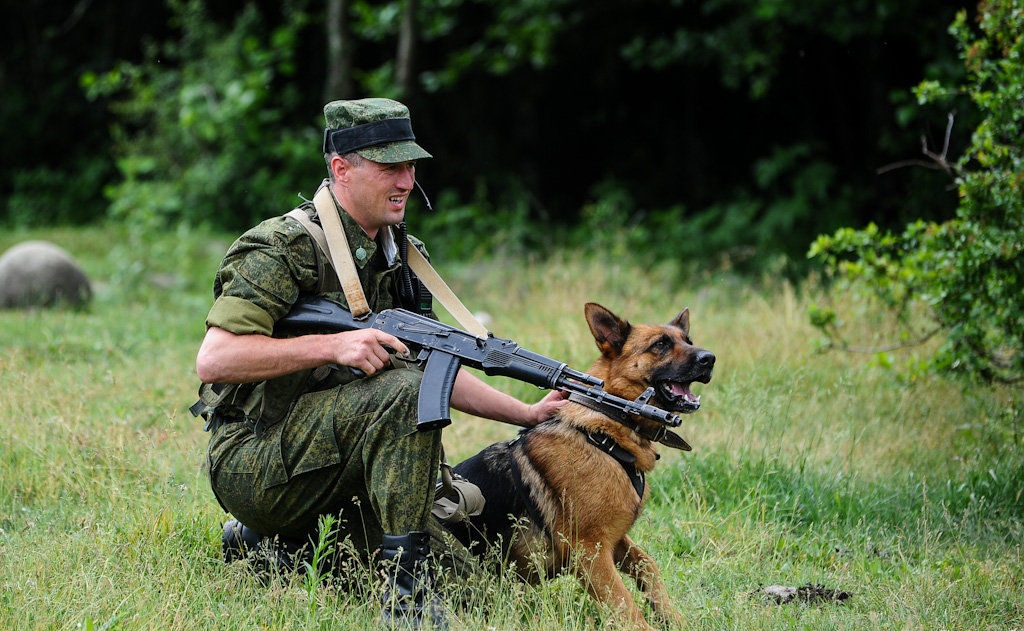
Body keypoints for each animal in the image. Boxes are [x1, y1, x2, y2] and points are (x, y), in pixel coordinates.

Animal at [444, 303, 716, 626]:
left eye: (688, 340)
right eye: (660, 345)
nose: (710, 359)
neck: (606, 431)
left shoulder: (612, 540)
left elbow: (648, 565)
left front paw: (673, 617)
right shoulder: (589, 551)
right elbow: (627, 607)